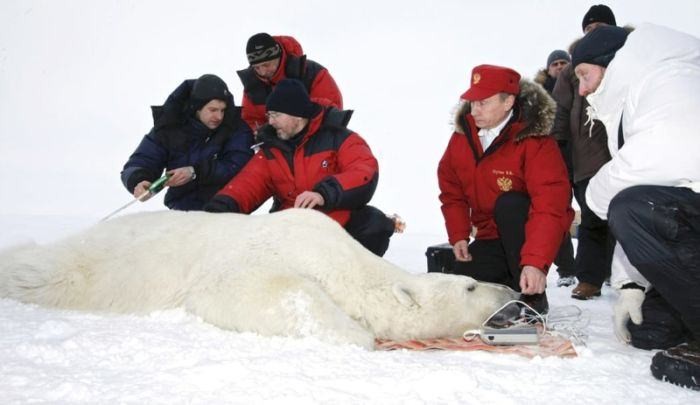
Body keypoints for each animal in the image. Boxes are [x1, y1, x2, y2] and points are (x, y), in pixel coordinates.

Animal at [1, 208, 520, 348]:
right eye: (470, 285)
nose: (513, 289)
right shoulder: (258, 256)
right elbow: (268, 290)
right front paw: (357, 333)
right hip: (91, 265)